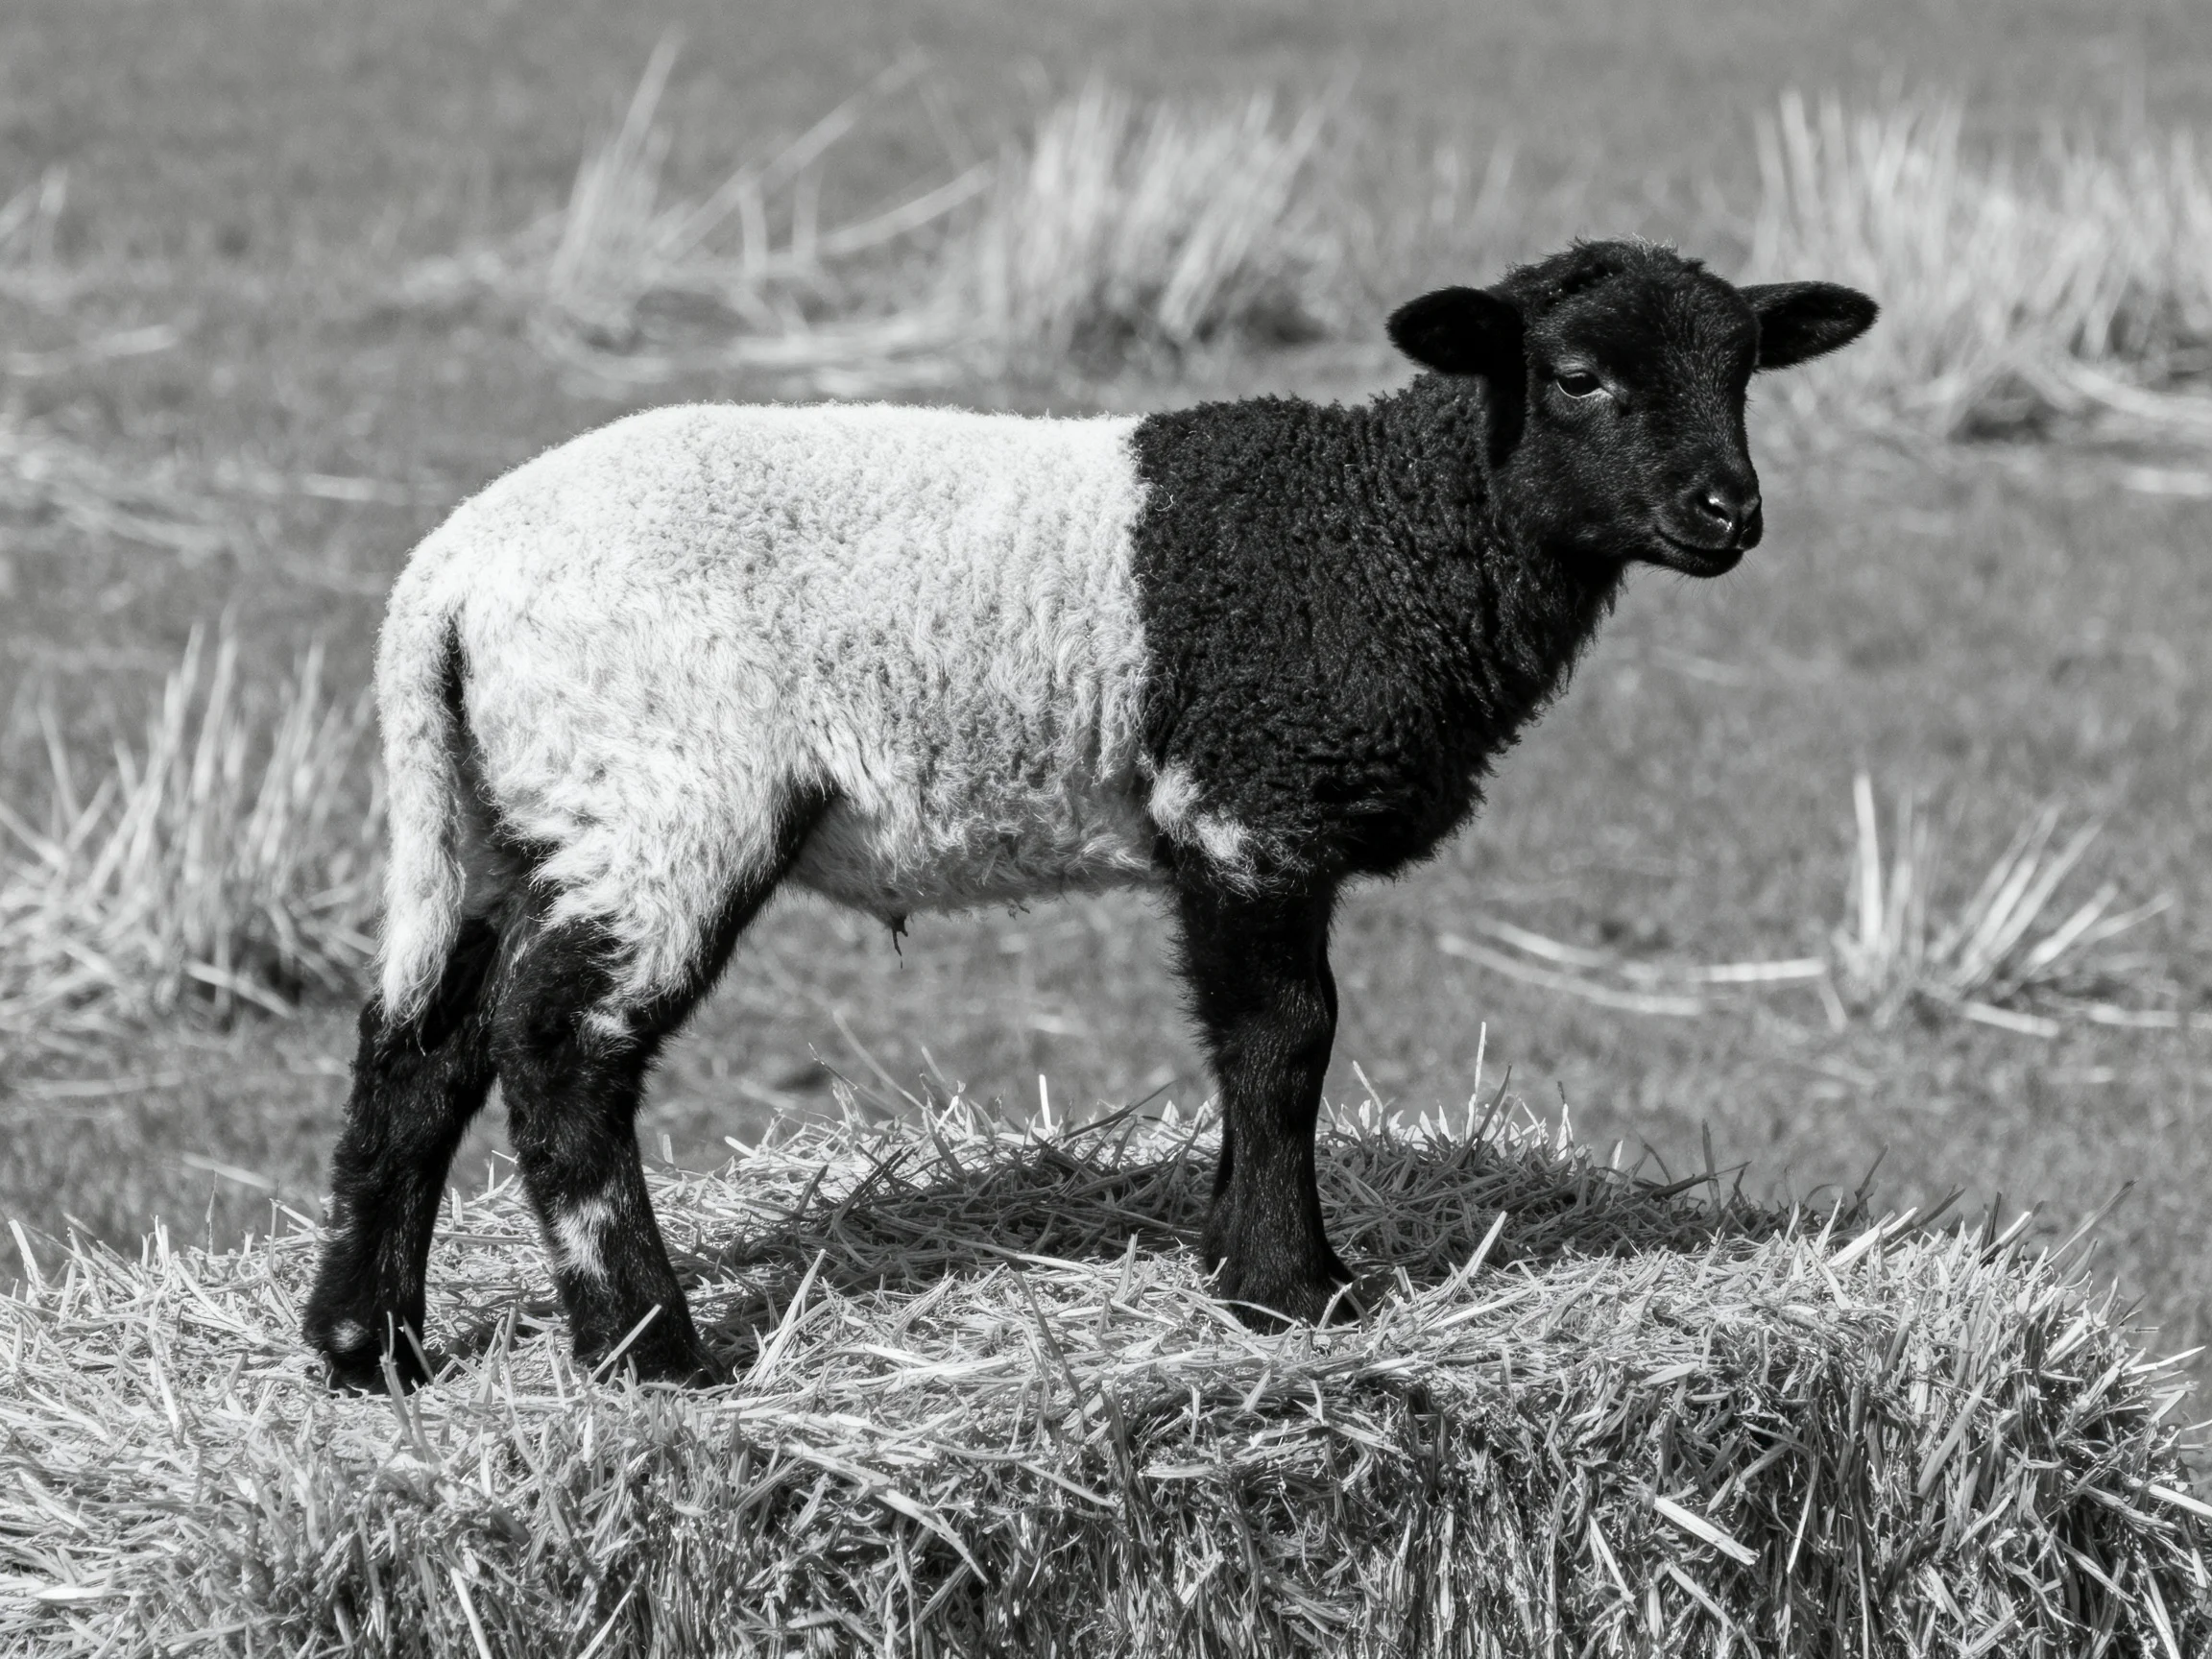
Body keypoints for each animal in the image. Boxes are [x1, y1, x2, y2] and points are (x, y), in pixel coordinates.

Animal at [303, 239, 1875, 1388]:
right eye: (1578, 376)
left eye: (1746, 372)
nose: (1727, 514)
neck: (1392, 537)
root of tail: (448, 575)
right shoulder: (1249, 803)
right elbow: (1286, 1039)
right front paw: (1292, 1291)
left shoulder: (1221, 831)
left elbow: (1243, 1048)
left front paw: (1234, 1262)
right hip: (662, 793)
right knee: (560, 1047)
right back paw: (650, 1355)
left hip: (519, 806)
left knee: (425, 1044)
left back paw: (366, 1347)